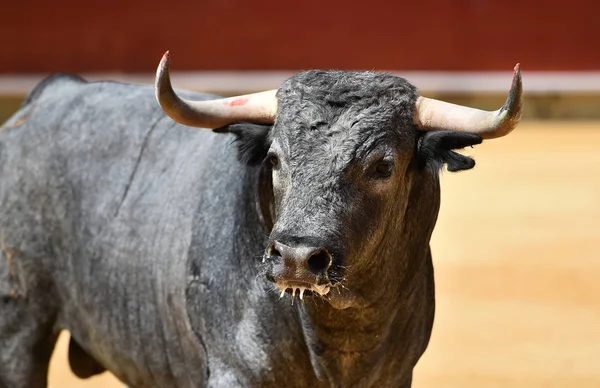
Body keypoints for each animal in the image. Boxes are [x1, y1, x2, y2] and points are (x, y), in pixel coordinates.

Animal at [0, 50, 524, 384]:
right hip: (18, 329)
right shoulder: (234, 371)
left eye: (383, 165)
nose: (295, 258)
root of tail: (47, 96)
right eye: (273, 159)